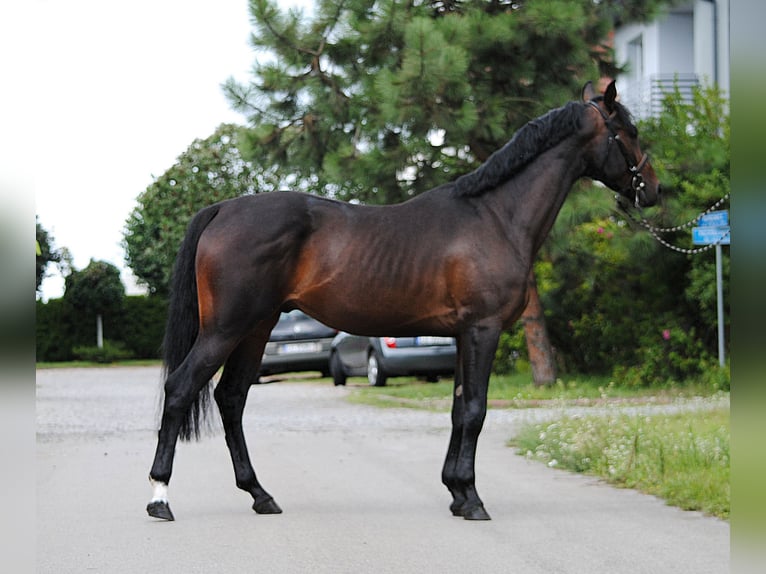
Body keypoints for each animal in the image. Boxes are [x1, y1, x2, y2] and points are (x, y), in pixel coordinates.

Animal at [148, 81, 660, 520]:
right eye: (630, 132)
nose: (654, 190)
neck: (495, 216)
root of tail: (223, 209)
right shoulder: (484, 330)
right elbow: (476, 410)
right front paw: (473, 500)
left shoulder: (462, 335)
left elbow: (458, 408)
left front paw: (456, 492)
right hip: (226, 328)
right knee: (181, 388)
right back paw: (160, 498)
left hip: (256, 327)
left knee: (231, 398)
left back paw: (260, 494)